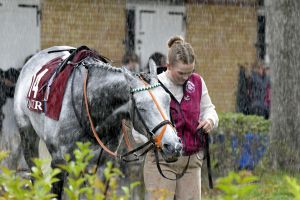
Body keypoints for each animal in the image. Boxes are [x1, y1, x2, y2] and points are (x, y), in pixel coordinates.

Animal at [13, 46, 183, 198]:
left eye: (168, 100)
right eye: (141, 107)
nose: (173, 146)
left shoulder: (102, 164)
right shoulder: (61, 162)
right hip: (27, 135)